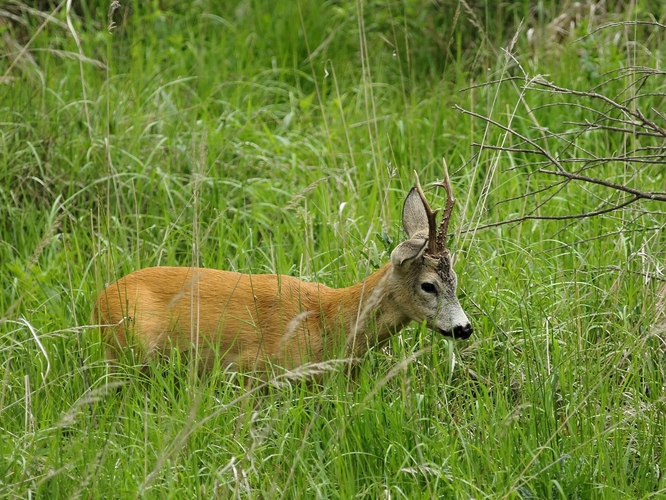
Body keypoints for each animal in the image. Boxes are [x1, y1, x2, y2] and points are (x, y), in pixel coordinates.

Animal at [91, 172, 470, 372]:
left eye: (455, 281)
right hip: (131, 347)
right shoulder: (252, 368)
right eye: (428, 285)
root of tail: (99, 300)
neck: (329, 321)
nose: (464, 328)